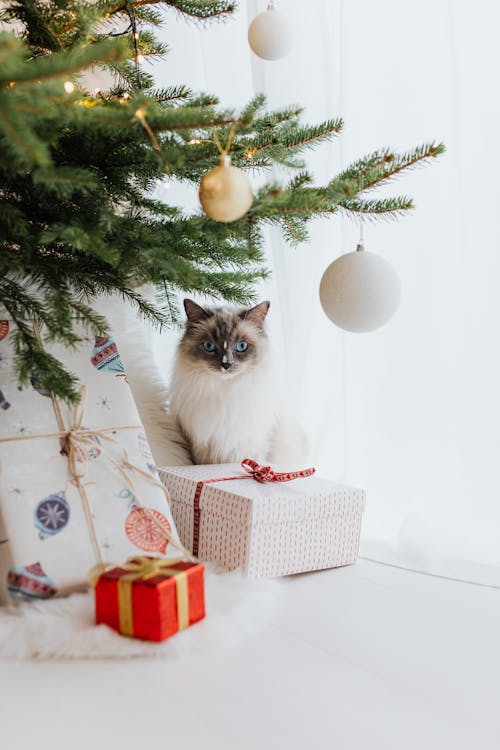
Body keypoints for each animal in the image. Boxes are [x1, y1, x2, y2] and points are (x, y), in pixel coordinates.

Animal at [161, 298, 308, 468]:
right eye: (209, 346)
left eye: (241, 346)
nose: (226, 364)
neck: (226, 392)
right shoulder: (201, 446)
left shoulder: (248, 446)